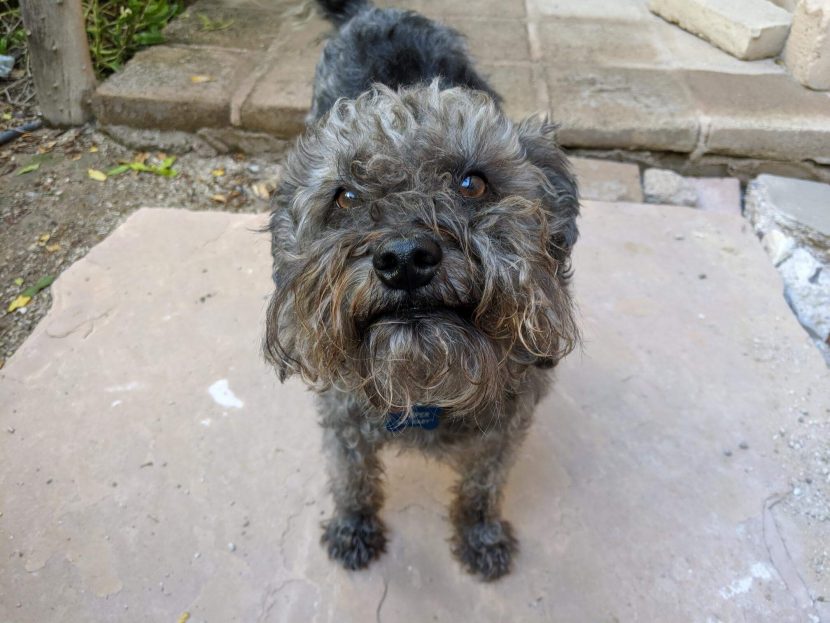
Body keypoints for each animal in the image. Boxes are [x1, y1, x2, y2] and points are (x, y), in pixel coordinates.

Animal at [264, 0, 580, 580]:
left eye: (473, 183)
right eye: (345, 196)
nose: (405, 259)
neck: (426, 384)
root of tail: (374, 11)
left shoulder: (506, 427)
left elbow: (482, 486)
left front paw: (480, 536)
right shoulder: (342, 416)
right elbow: (351, 476)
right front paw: (353, 527)